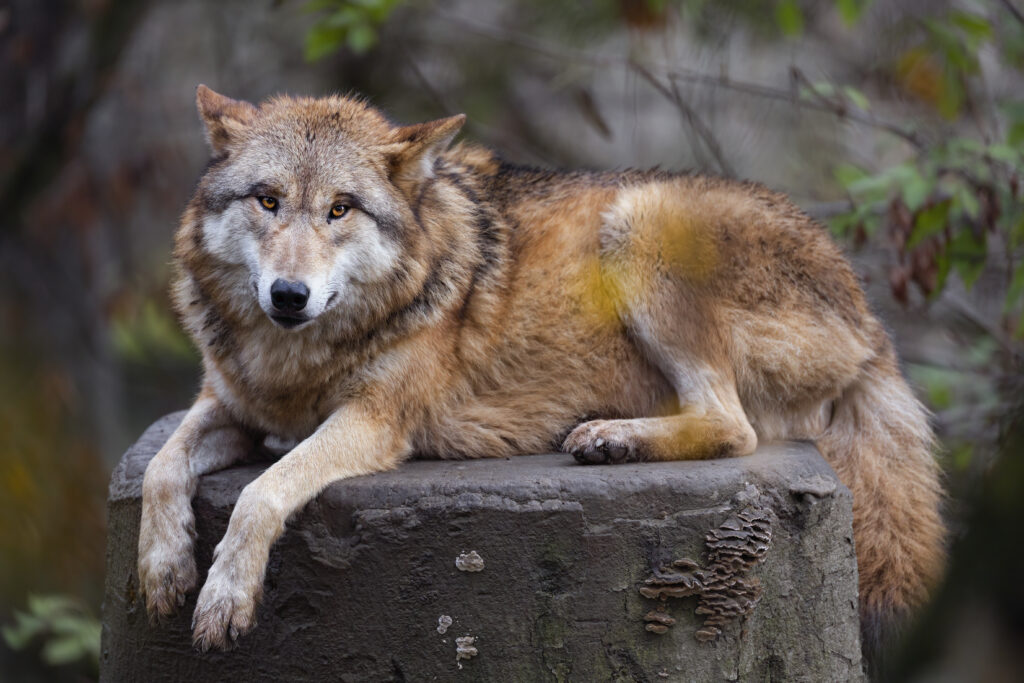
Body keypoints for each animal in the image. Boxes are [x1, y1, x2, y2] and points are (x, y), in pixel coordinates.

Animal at [138, 85, 945, 656]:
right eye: (267, 200)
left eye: (340, 209)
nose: (288, 295)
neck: (297, 360)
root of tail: (868, 315)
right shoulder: (231, 404)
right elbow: (160, 465)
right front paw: (163, 567)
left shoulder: (374, 420)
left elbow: (264, 492)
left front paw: (224, 597)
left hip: (640, 224)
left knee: (735, 428)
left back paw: (611, 438)